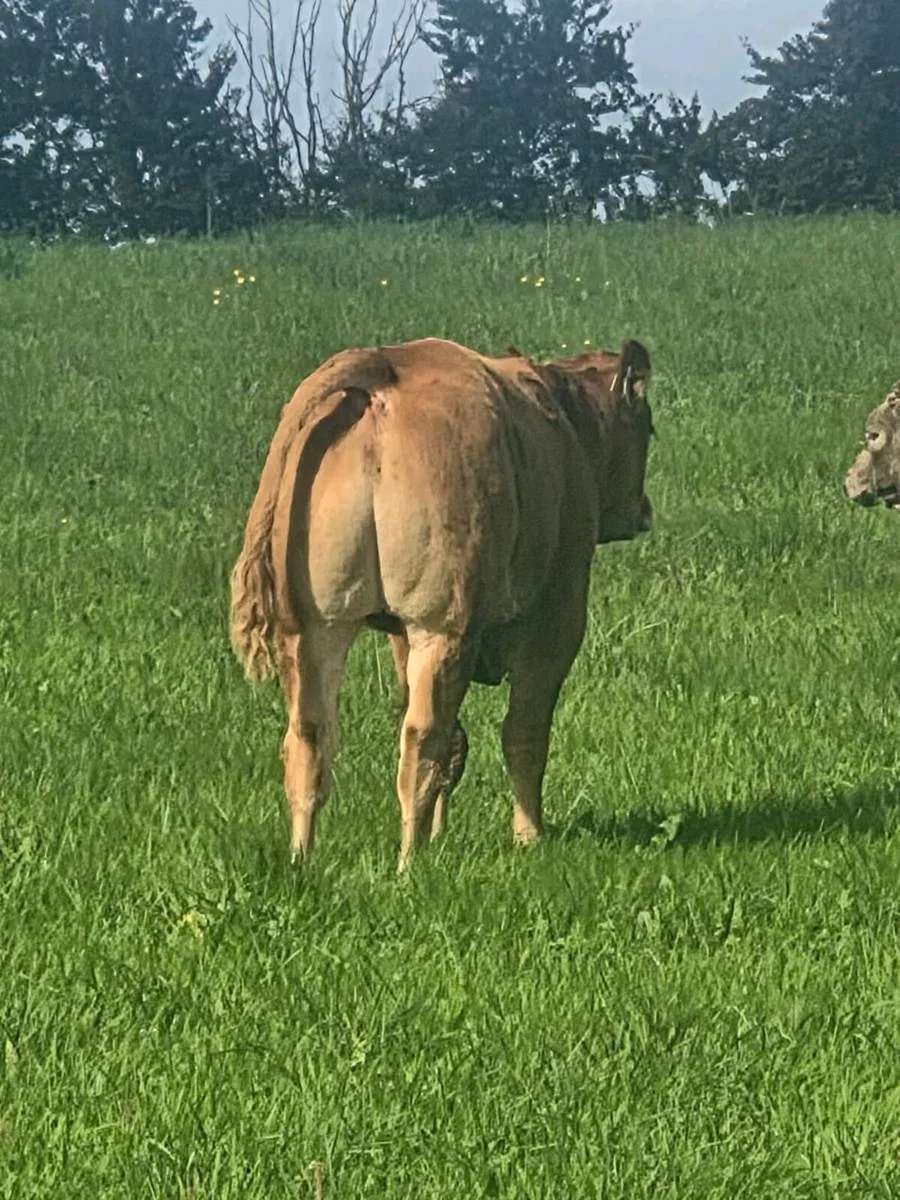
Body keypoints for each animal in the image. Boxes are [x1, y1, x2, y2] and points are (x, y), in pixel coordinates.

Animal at [230, 335, 655, 871]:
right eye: (646, 425)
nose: (644, 510)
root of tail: (386, 368)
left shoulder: (399, 637)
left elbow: (460, 739)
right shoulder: (557, 616)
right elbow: (524, 732)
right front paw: (529, 838)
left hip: (315, 628)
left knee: (310, 736)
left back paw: (302, 858)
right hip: (441, 628)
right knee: (421, 740)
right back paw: (409, 863)